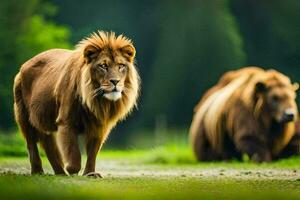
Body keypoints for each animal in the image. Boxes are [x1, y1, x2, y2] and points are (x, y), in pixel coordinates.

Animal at [13, 30, 140, 177]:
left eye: (121, 66)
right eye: (103, 66)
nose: (115, 81)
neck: (96, 100)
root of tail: (24, 65)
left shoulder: (99, 126)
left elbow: (92, 153)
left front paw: (90, 174)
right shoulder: (67, 121)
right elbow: (73, 152)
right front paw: (72, 170)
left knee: (48, 143)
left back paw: (60, 172)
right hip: (23, 116)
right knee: (31, 144)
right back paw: (38, 171)